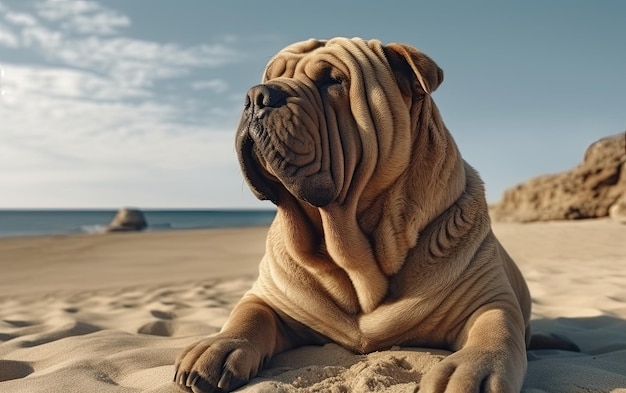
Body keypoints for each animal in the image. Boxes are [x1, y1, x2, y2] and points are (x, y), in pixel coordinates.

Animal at [176, 37, 532, 392]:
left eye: (333, 80)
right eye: (270, 76)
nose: (256, 96)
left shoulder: (488, 299)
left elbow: (496, 327)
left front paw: (470, 371)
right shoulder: (271, 295)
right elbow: (249, 313)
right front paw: (220, 346)